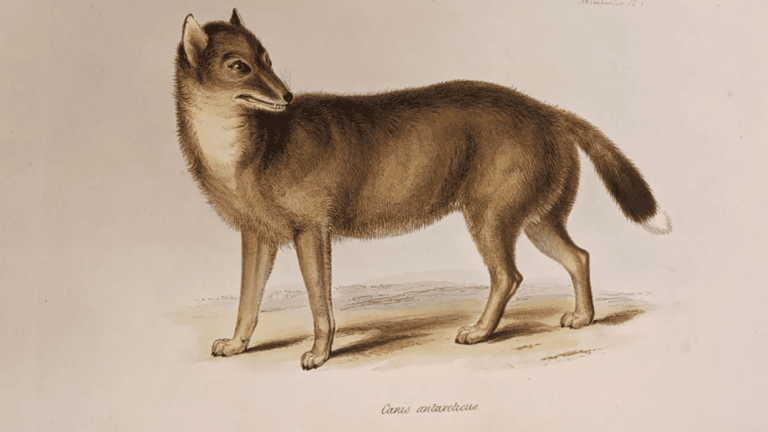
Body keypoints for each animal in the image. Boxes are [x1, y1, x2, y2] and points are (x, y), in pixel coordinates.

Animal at [174, 9, 671, 370]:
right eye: (240, 65)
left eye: (268, 59)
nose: (287, 96)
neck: (247, 150)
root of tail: (550, 111)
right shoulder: (257, 237)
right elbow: (247, 300)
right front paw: (236, 344)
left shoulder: (311, 232)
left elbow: (319, 302)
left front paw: (319, 354)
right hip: (536, 221)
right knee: (579, 257)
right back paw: (583, 318)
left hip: (491, 218)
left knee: (509, 276)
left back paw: (480, 332)